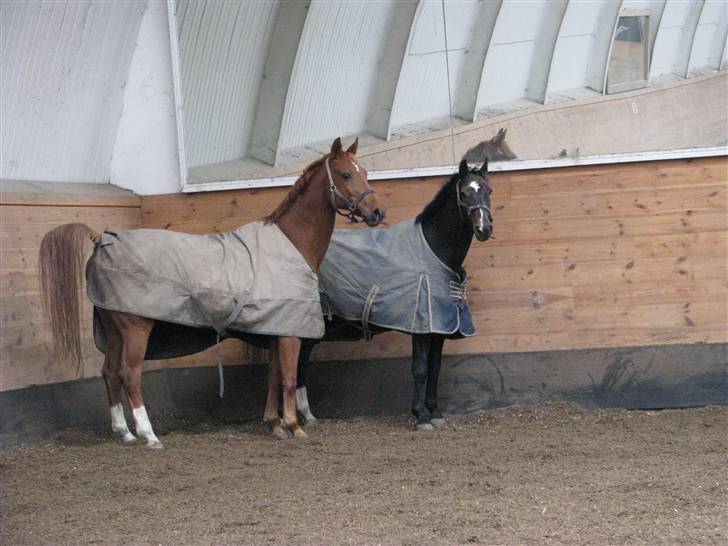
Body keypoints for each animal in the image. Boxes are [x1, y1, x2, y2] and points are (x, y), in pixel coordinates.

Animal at [39, 138, 384, 444]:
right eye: (345, 174)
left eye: (365, 171)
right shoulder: (289, 334)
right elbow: (287, 379)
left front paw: (274, 425)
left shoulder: (274, 328)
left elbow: (273, 378)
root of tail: (103, 239)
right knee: (129, 374)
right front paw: (294, 426)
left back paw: (124, 432)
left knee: (110, 372)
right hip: (135, 328)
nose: (377, 212)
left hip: (113, 329)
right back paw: (148, 435)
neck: (290, 244)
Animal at [296, 158, 494, 430]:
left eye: (488, 191)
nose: (484, 228)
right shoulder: (421, 328)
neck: (434, 250)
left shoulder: (439, 328)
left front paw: (435, 412)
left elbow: (435, 368)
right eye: (464, 192)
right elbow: (420, 370)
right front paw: (421, 416)